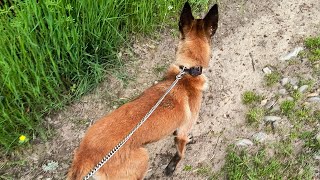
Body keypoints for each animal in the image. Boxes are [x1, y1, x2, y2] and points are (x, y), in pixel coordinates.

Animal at [67, 2, 218, 179]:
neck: (186, 71)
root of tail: (84, 156)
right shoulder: (182, 131)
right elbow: (180, 152)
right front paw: (172, 166)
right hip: (142, 158)